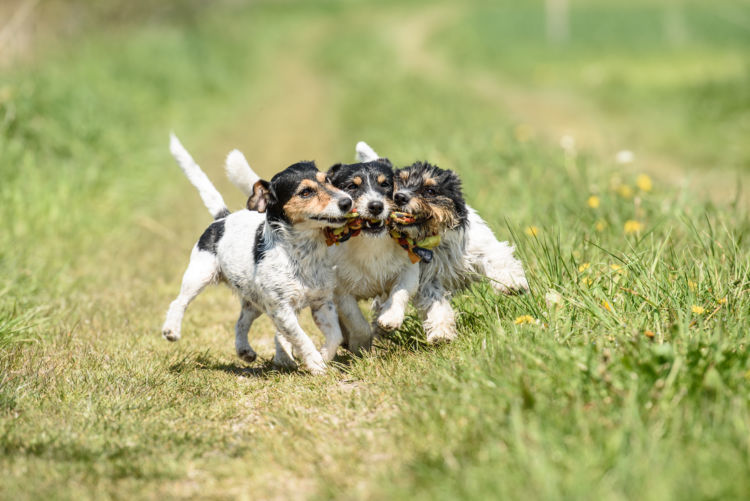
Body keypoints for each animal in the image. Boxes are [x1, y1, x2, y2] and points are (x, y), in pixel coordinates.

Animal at [161, 135, 352, 374]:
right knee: (178, 302)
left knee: (241, 322)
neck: (303, 252)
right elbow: (301, 338)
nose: (347, 201)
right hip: (199, 275)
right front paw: (316, 364)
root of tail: (222, 218)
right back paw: (171, 330)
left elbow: (335, 335)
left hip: (255, 301)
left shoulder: (322, 302)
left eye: (327, 180)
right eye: (305, 192)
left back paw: (246, 351)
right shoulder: (282, 310)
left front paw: (324, 355)